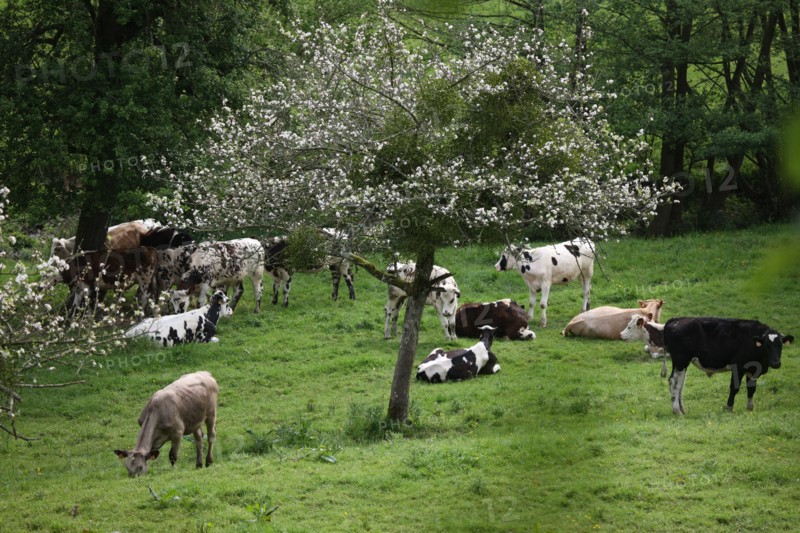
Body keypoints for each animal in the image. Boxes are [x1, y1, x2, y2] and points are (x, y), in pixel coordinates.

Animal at [662, 317, 793, 414]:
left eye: (780, 345)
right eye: (767, 345)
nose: (776, 363)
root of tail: (675, 320)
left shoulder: (754, 368)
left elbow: (751, 388)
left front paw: (750, 408)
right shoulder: (738, 366)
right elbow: (734, 387)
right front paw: (729, 408)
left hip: (681, 363)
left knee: (680, 384)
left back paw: (682, 409)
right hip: (681, 361)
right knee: (674, 383)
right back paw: (677, 411)